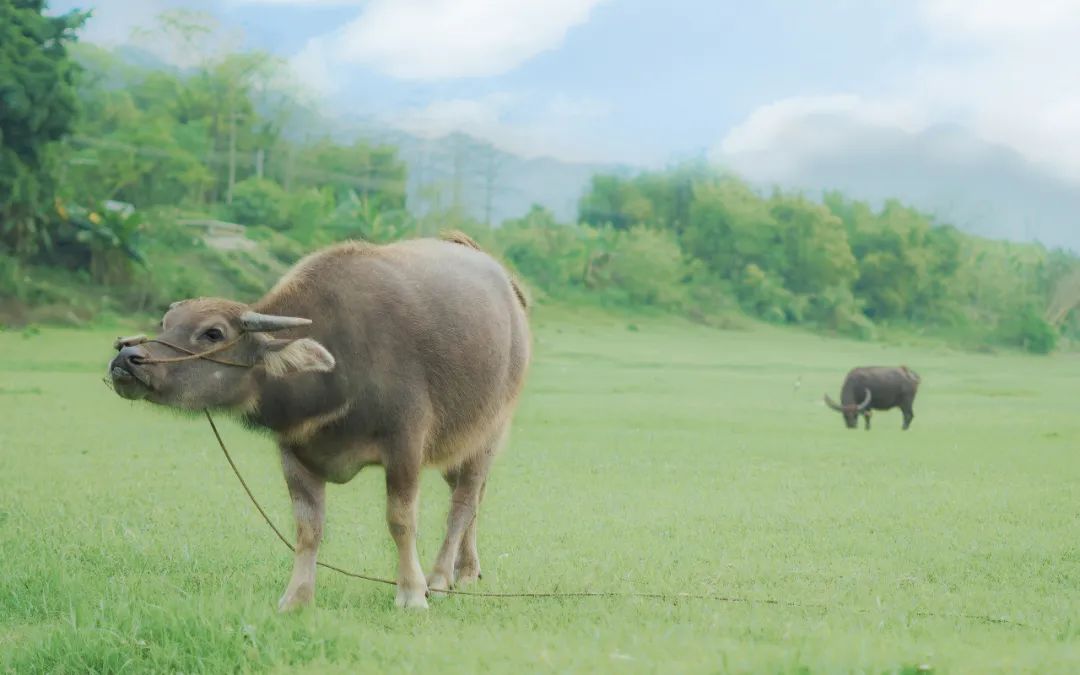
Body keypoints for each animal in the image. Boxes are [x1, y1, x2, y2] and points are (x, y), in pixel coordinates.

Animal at [107, 233, 529, 609]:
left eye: (213, 333)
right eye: (166, 323)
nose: (127, 357)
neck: (339, 366)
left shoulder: (406, 445)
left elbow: (401, 520)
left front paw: (412, 593)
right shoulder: (295, 454)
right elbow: (308, 528)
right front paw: (296, 598)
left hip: (488, 434)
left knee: (463, 503)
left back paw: (440, 579)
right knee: (473, 498)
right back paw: (466, 571)